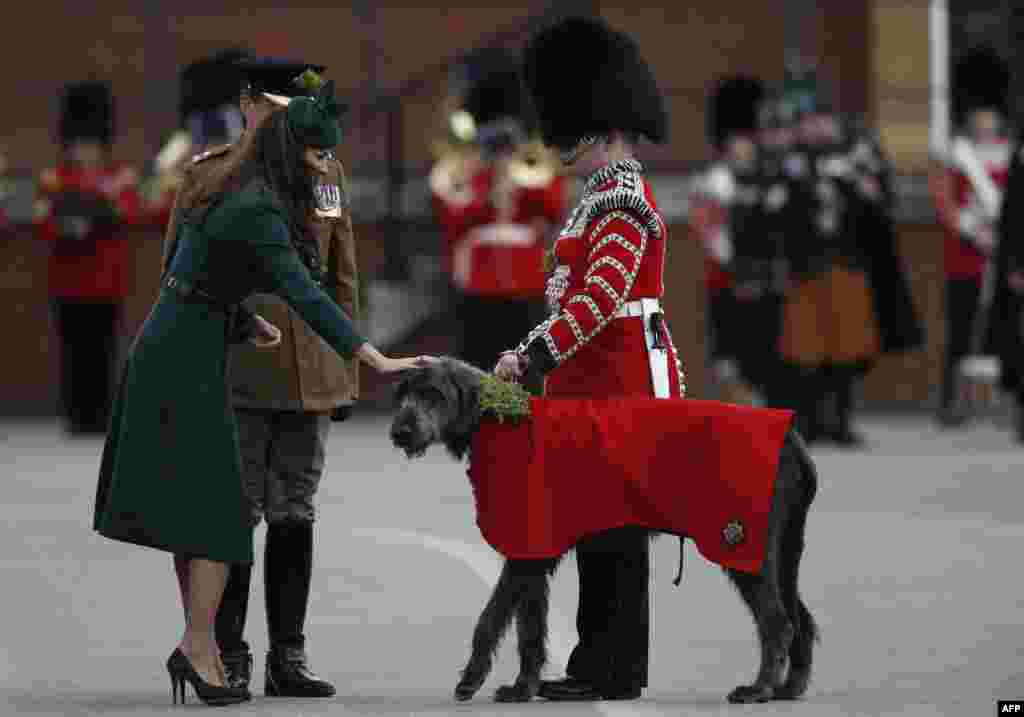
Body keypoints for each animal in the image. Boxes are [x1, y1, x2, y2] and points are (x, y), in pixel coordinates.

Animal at [387, 356, 819, 704]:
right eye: (403, 394)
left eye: (433, 395)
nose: (400, 432)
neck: (499, 419)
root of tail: (792, 437)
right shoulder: (534, 552)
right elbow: (530, 626)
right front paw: (524, 687)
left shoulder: (526, 551)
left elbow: (490, 618)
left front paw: (472, 680)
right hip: (782, 552)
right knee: (800, 618)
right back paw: (788, 688)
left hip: (739, 544)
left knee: (777, 622)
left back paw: (759, 689)